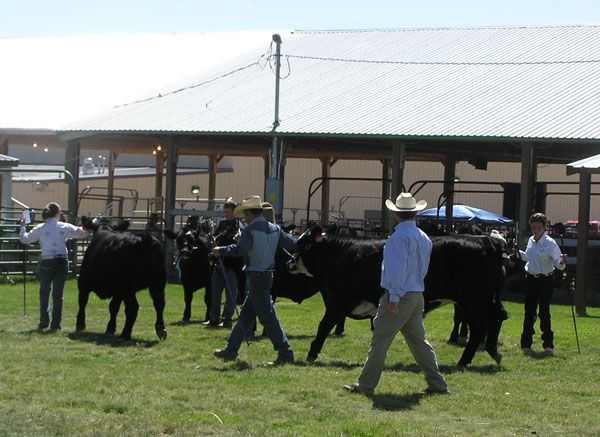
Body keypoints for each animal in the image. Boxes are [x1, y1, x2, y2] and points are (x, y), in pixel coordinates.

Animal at [296, 227, 506, 366]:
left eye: (305, 245)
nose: (291, 262)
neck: (343, 254)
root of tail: (486, 240)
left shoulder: (339, 301)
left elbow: (324, 326)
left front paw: (312, 354)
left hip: (473, 301)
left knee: (480, 328)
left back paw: (464, 361)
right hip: (485, 300)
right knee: (497, 318)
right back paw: (493, 352)